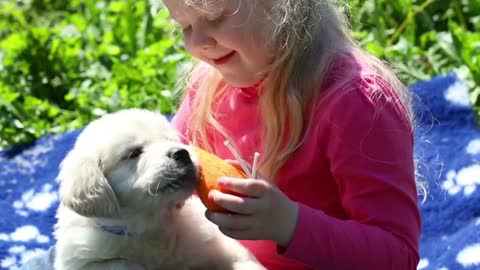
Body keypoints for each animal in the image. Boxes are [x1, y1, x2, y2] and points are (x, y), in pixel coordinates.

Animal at [54, 108, 264, 268]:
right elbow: (121, 263)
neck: (151, 227)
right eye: (134, 153)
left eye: (171, 140)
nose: (182, 153)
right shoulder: (83, 259)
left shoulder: (220, 247)